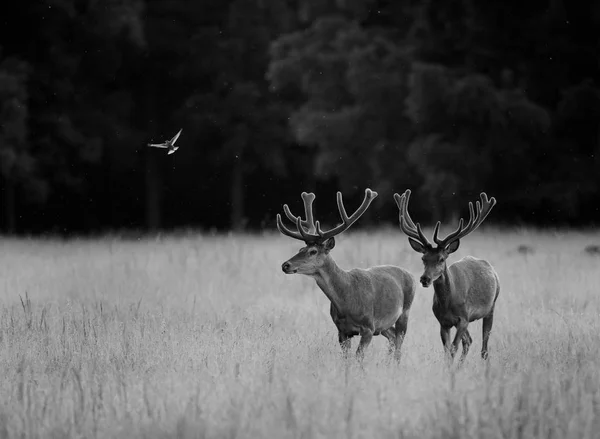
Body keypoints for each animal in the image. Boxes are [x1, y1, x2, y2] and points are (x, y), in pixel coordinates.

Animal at [276, 188, 412, 360]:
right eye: (300, 249)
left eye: (313, 251)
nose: (285, 265)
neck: (346, 301)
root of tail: (410, 274)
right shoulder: (342, 331)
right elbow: (346, 360)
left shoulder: (368, 327)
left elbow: (358, 358)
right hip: (383, 326)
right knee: (393, 337)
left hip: (405, 311)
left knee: (399, 342)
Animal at [394, 189, 502, 364]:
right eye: (423, 258)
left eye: (441, 259)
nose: (424, 279)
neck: (448, 303)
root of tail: (490, 267)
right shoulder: (443, 322)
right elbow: (447, 351)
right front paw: (448, 368)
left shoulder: (464, 318)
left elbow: (453, 348)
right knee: (469, 341)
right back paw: (460, 367)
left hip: (491, 306)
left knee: (484, 348)